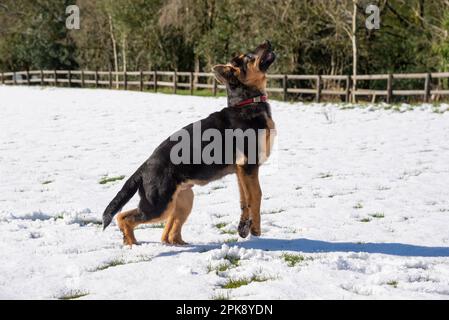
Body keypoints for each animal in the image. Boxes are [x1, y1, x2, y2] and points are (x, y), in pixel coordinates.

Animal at [103, 40, 274, 245]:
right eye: (248, 57)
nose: (267, 42)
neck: (247, 102)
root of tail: (144, 167)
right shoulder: (248, 165)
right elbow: (256, 195)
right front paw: (255, 228)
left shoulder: (242, 171)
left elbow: (245, 199)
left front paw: (244, 227)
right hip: (159, 205)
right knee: (124, 217)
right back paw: (132, 244)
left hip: (183, 200)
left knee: (167, 234)